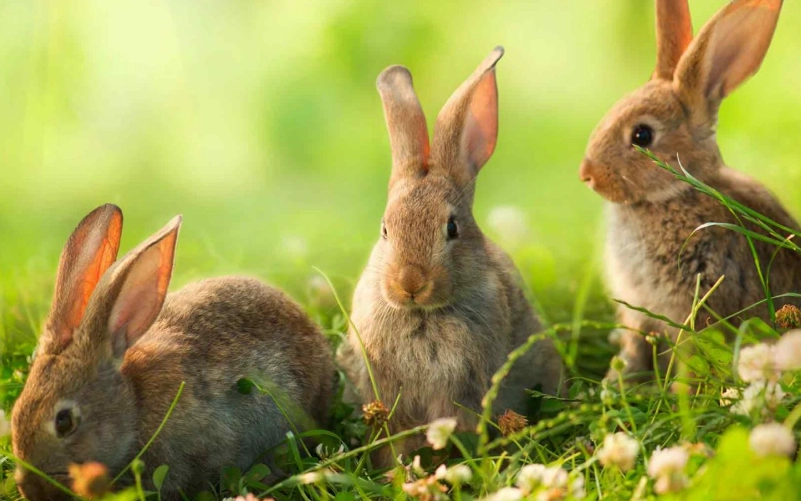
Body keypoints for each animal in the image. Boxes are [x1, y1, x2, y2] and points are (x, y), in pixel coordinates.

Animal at [579, 0, 801, 381]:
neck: (675, 193)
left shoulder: (699, 301)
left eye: (642, 135)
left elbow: (693, 354)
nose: (587, 175)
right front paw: (616, 381)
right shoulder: (638, 311)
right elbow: (634, 347)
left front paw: (680, 388)